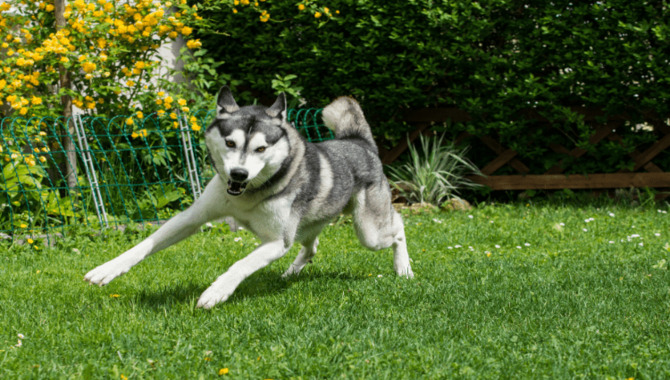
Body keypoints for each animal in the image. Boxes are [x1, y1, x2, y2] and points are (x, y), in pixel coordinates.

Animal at [85, 87, 414, 308]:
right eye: (230, 143)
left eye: (261, 148)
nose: (239, 174)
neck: (247, 194)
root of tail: (359, 142)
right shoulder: (193, 217)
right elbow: (146, 244)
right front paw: (107, 269)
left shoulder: (275, 242)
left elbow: (240, 264)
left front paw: (216, 291)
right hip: (308, 224)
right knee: (311, 246)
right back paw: (291, 272)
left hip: (368, 231)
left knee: (397, 227)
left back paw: (403, 268)